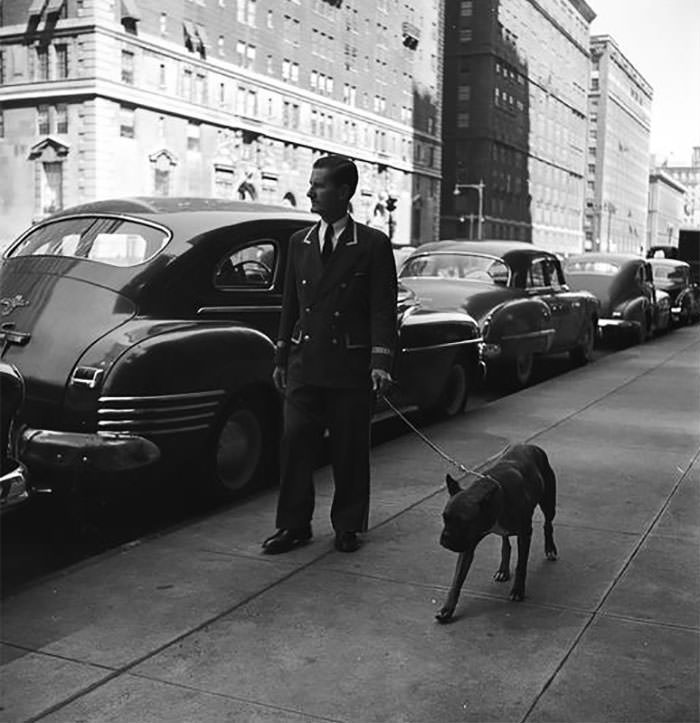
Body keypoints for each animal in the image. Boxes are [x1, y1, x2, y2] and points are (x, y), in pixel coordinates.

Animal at [438, 444, 556, 624]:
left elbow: (521, 565)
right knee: (505, 544)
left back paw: (550, 549)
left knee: (548, 525)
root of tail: (529, 446)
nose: (445, 537)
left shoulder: (525, 534)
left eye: (463, 522)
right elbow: (457, 579)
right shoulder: (468, 545)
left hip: (549, 504)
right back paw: (503, 570)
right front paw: (448, 608)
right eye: (444, 517)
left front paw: (518, 590)